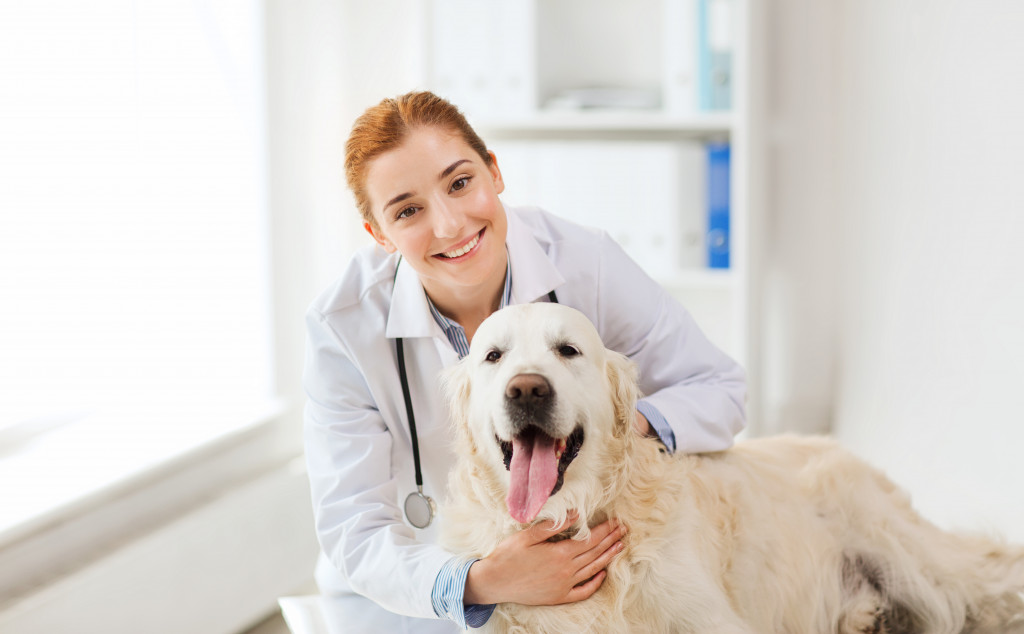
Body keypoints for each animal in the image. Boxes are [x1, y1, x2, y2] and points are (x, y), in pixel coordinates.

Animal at [440, 303, 1024, 634]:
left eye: (568, 350)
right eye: (494, 356)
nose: (527, 389)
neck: (574, 515)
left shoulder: (713, 618)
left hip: (917, 559)